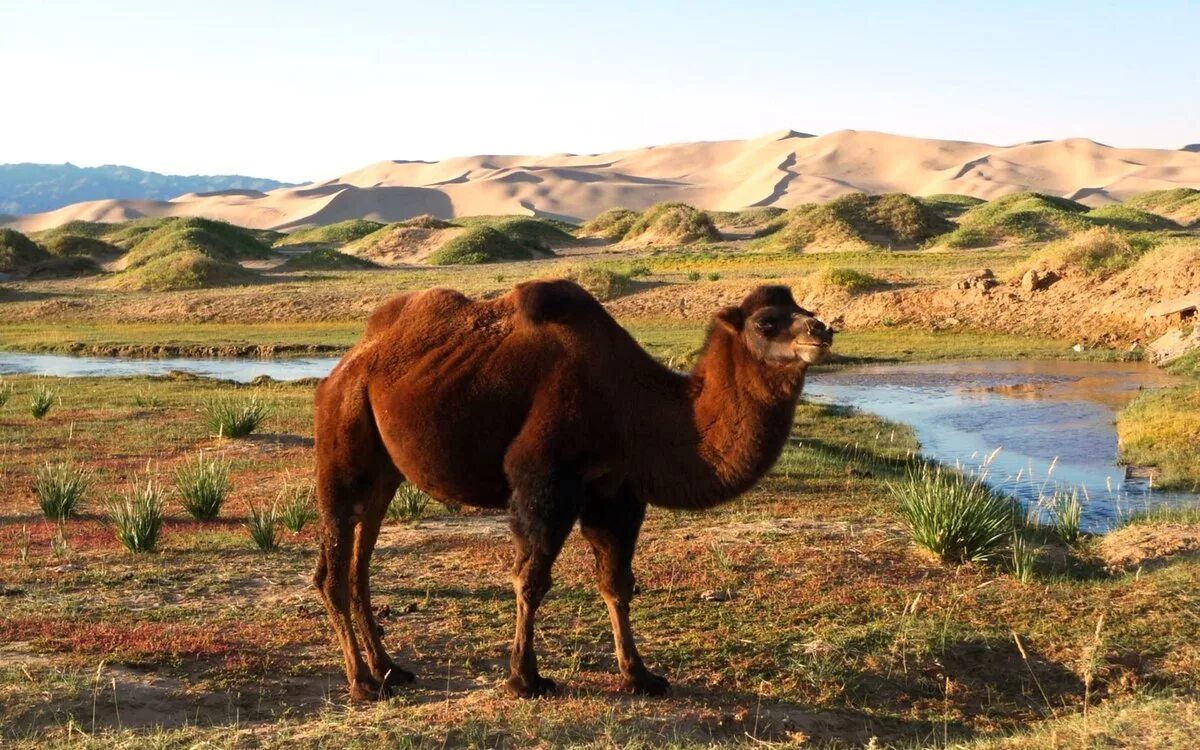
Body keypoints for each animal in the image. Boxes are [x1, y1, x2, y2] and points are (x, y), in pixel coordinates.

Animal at [312, 278, 835, 700]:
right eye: (766, 322)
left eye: (804, 307)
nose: (822, 330)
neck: (634, 405)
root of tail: (346, 364)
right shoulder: (545, 481)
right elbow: (531, 579)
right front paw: (525, 680)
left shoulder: (615, 492)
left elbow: (616, 582)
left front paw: (640, 675)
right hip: (343, 434)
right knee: (334, 565)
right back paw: (362, 683)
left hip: (385, 471)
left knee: (360, 560)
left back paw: (389, 669)